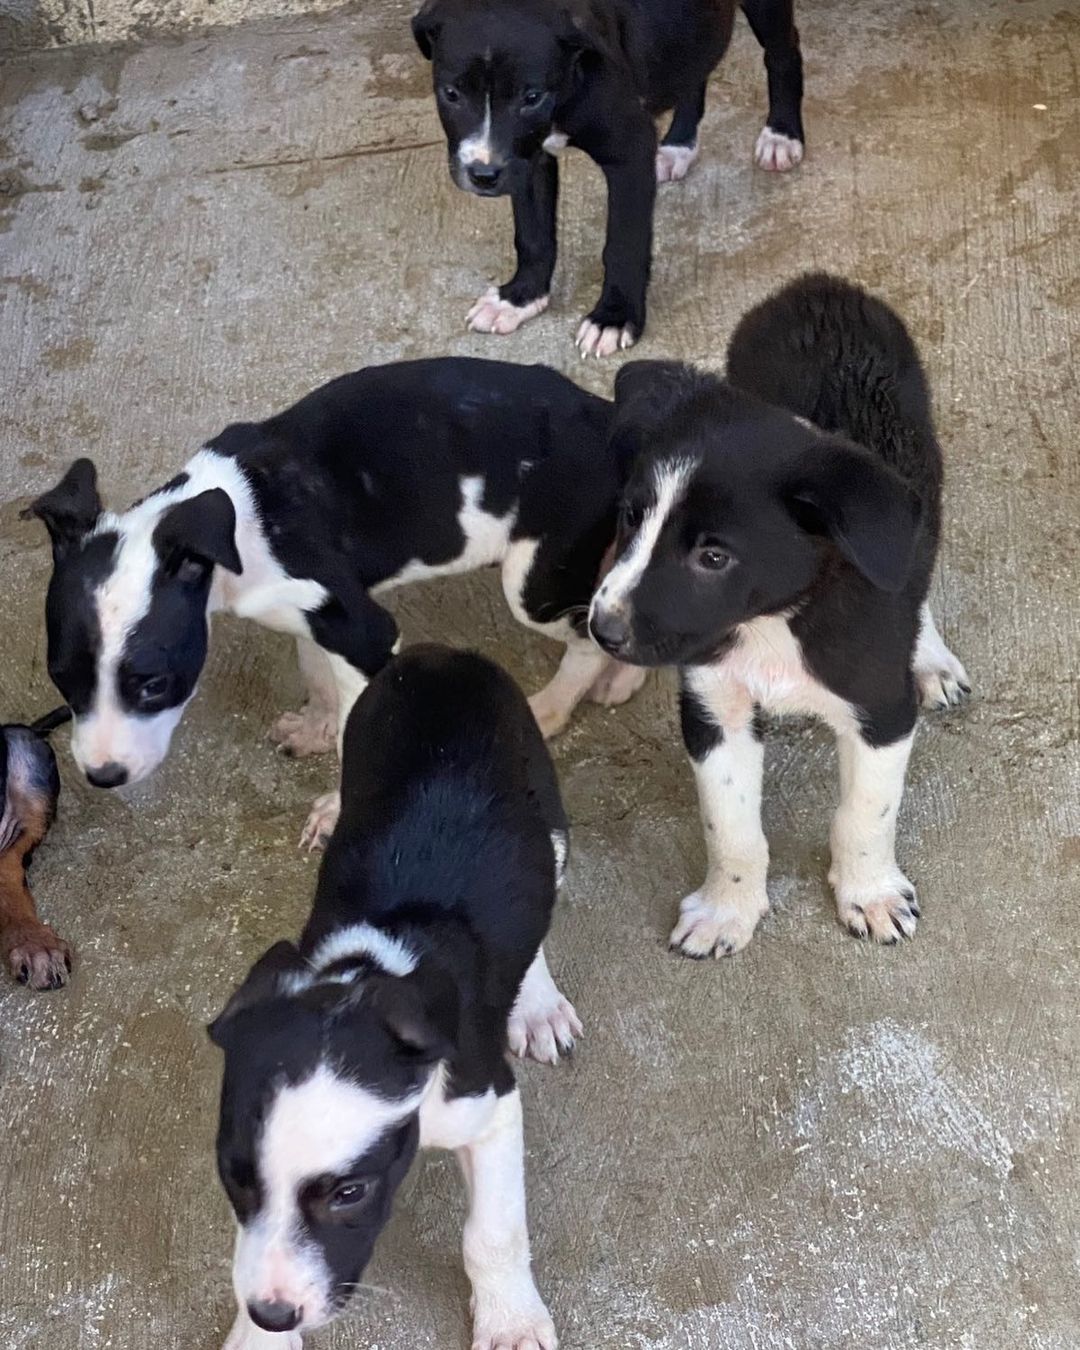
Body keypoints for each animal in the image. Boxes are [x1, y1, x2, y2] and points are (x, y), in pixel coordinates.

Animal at [205, 645, 572, 1350]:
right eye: (234, 1177)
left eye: (349, 1194)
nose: (273, 1313)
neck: (371, 973)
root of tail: (444, 655)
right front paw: (258, 1337)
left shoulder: (490, 1105)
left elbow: (493, 1232)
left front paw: (510, 1320)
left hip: (548, 816)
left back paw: (538, 1002)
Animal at [413, 0, 799, 356]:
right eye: (451, 94)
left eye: (532, 97)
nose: (483, 174)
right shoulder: (528, 160)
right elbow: (533, 236)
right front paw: (520, 298)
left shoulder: (629, 153)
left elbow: (623, 245)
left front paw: (614, 317)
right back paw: (678, 146)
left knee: (784, 52)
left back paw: (782, 135)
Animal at [591, 271, 972, 950]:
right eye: (631, 516)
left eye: (714, 556)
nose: (601, 630)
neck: (773, 621)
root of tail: (817, 283)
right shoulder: (714, 711)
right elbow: (731, 829)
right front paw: (727, 910)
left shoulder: (881, 710)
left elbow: (864, 817)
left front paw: (870, 894)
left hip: (923, 478)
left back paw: (929, 657)